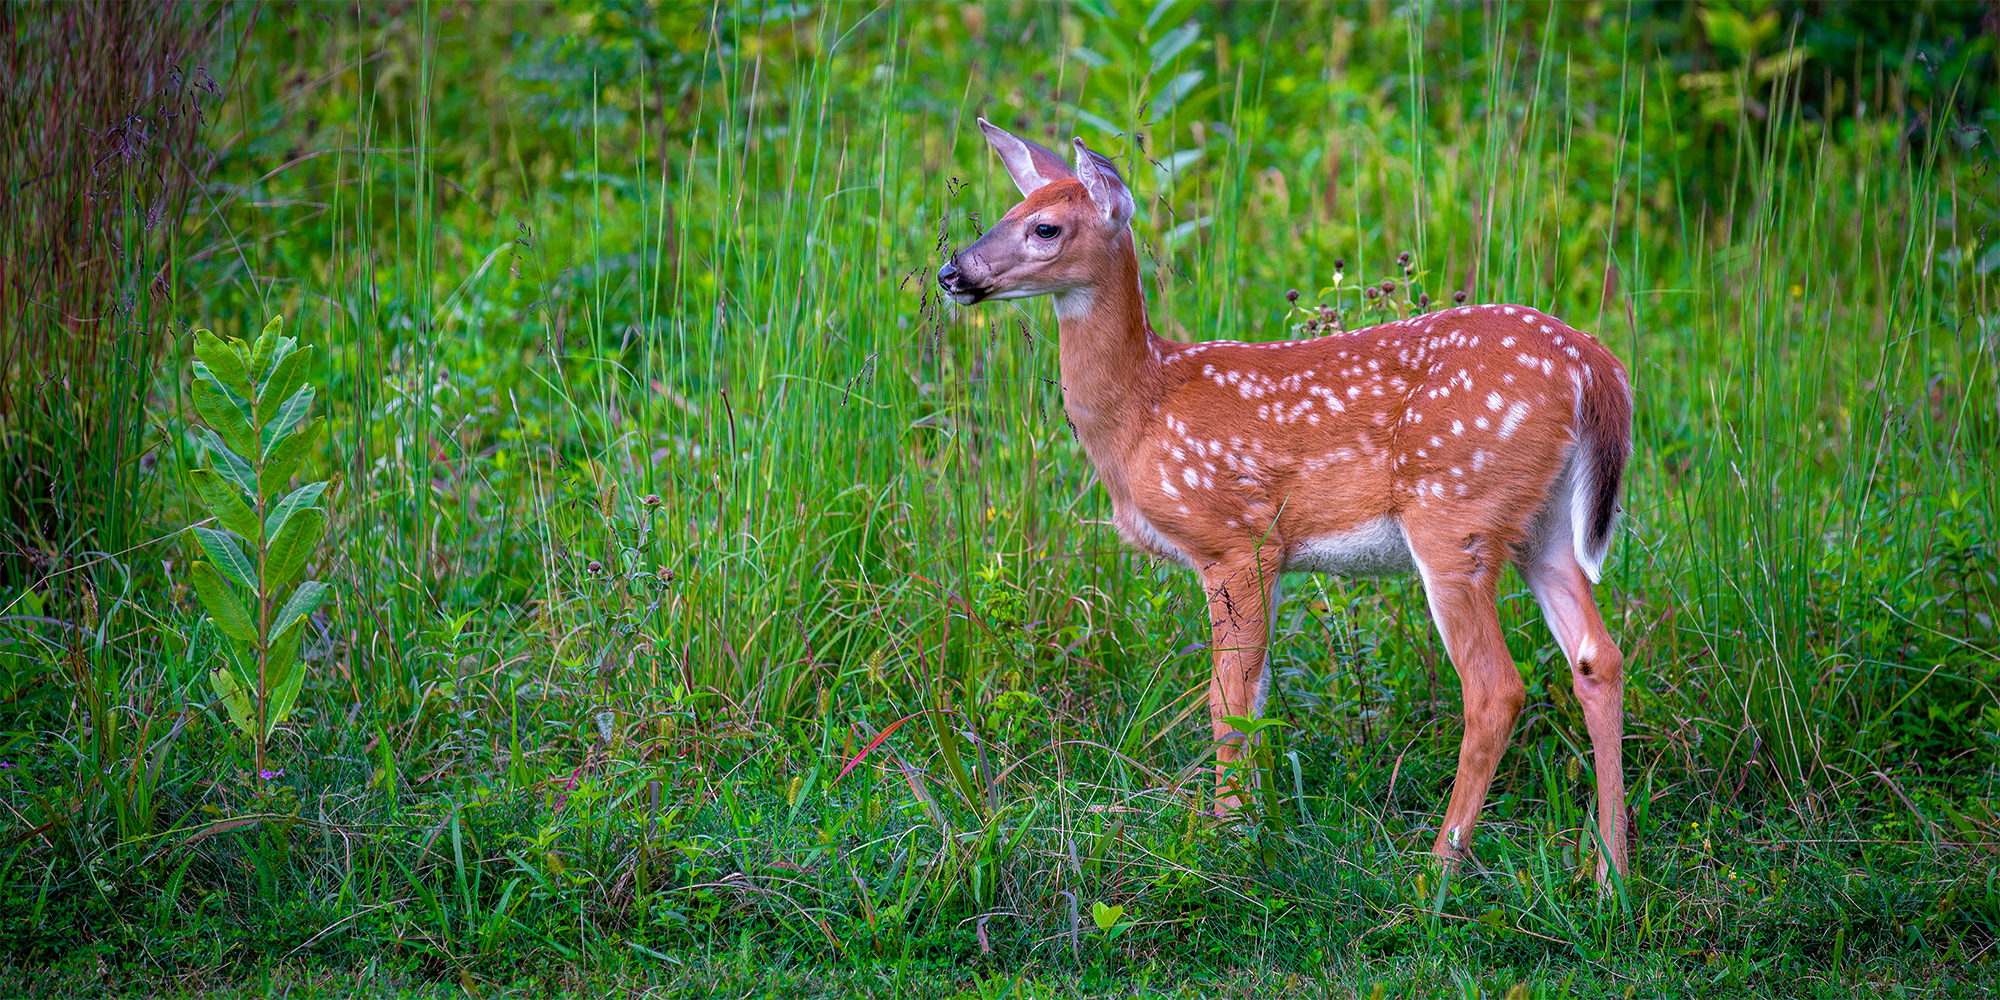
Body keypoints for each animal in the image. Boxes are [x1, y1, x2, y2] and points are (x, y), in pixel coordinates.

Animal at [937, 119, 1635, 880]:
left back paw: (1437, 870)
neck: (1144, 410)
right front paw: (1254, 825)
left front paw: (1222, 840)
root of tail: (1595, 368)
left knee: (1495, 688)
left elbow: (1227, 701)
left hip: (1455, 513)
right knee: (1598, 660)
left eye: (1045, 227)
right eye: (1007, 211)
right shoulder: (1266, 555)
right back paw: (1610, 874)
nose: (952, 272)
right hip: (1542, 526)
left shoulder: (1234, 537)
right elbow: (1257, 694)